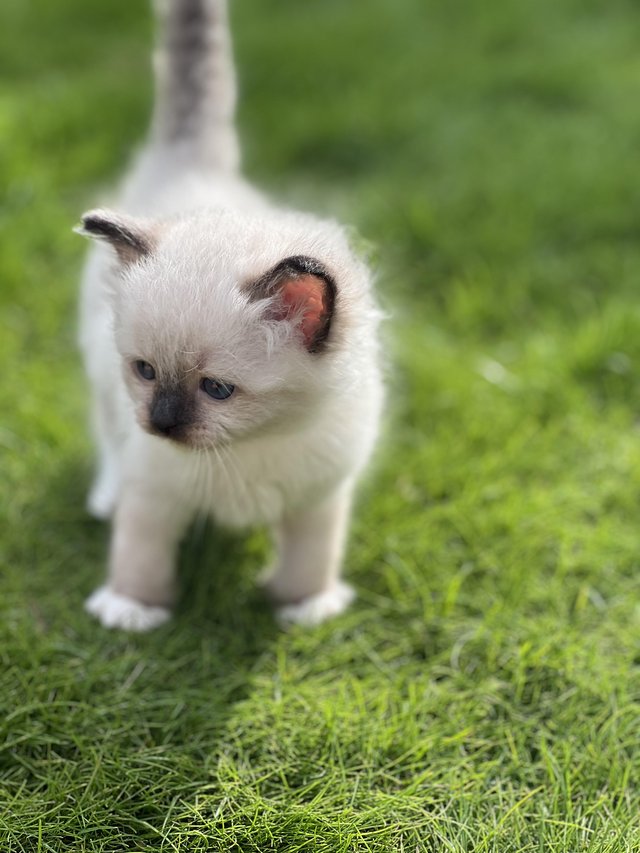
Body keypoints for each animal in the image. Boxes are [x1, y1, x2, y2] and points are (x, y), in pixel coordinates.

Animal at [77, 0, 382, 628]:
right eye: (145, 371)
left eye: (217, 389)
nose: (161, 423)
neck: (249, 446)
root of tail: (195, 166)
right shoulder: (155, 492)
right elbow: (139, 555)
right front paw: (131, 611)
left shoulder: (320, 498)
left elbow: (311, 559)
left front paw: (304, 608)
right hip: (97, 375)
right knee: (107, 432)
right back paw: (105, 497)